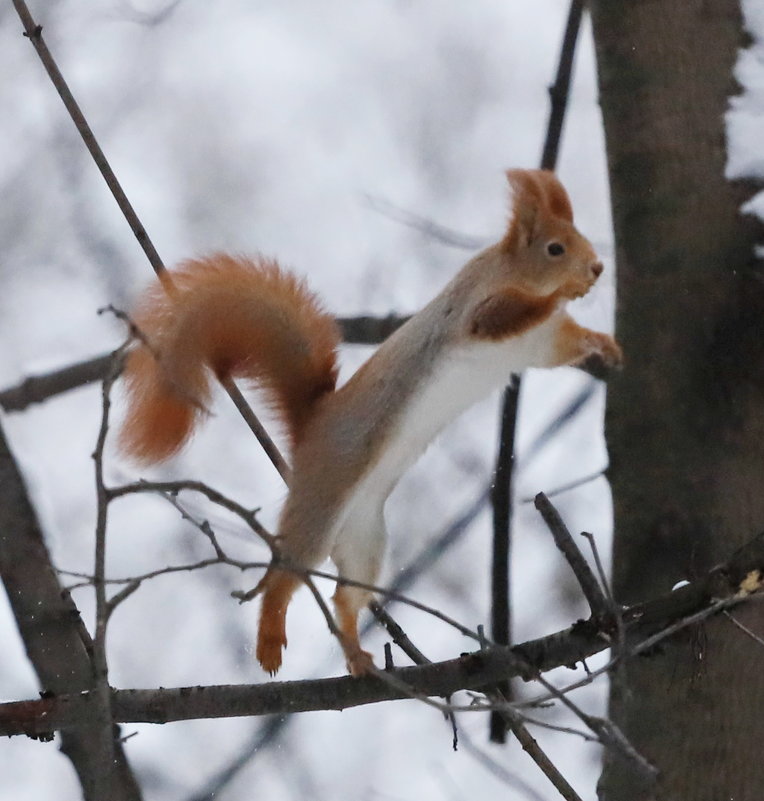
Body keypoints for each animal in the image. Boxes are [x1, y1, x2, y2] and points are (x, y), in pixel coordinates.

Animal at [119, 169, 620, 676]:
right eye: (555, 248)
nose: (597, 268)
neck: (510, 272)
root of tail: (310, 432)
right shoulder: (479, 313)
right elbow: (509, 315)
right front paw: (564, 293)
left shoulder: (542, 345)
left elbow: (569, 344)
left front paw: (607, 346)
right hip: (322, 508)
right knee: (283, 575)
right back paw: (270, 639)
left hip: (365, 541)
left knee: (344, 596)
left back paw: (358, 656)